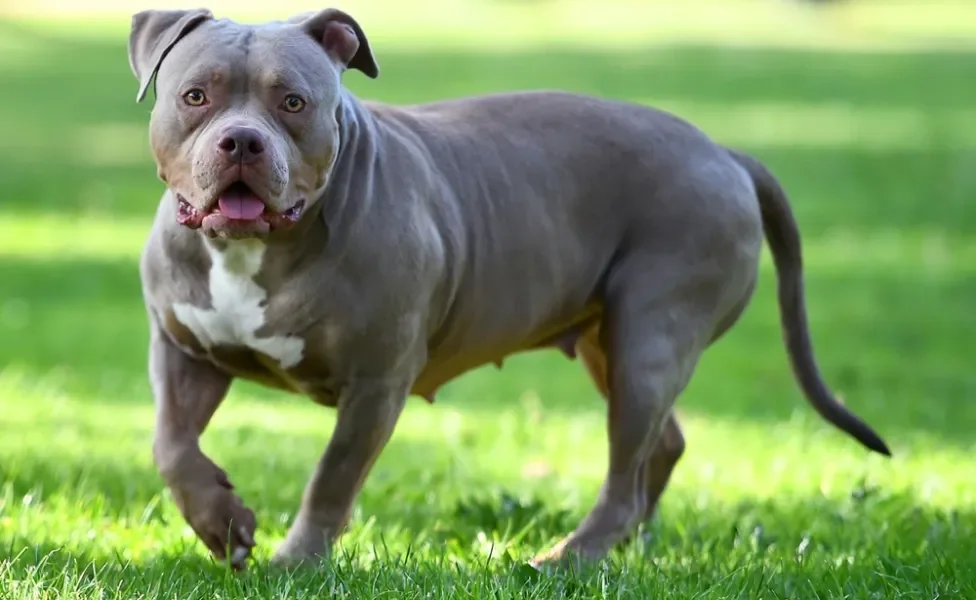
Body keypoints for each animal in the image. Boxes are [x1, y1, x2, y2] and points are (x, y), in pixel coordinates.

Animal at [127, 8, 892, 572]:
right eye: (196, 96)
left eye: (294, 102)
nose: (242, 142)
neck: (253, 250)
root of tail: (723, 152)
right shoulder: (181, 352)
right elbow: (170, 446)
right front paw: (222, 524)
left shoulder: (375, 384)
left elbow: (332, 475)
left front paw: (296, 559)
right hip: (611, 343)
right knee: (661, 447)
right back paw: (628, 547)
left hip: (651, 336)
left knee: (627, 466)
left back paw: (569, 559)